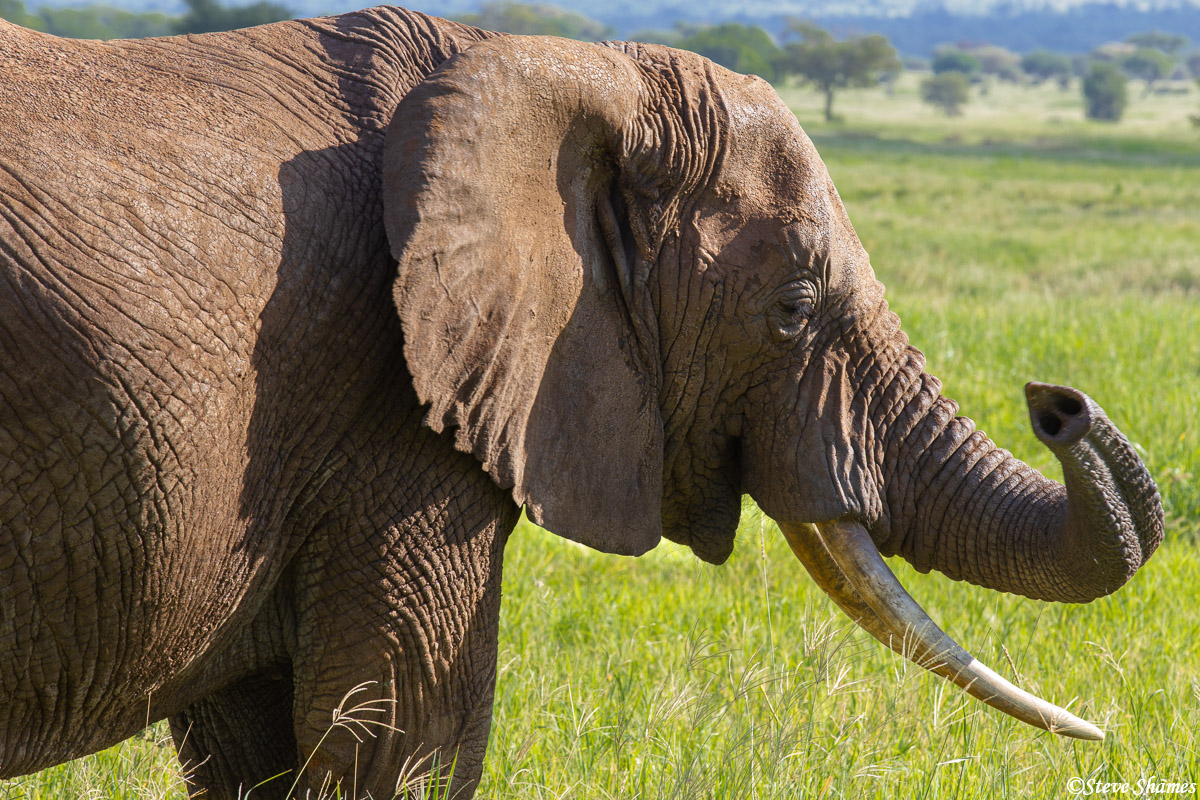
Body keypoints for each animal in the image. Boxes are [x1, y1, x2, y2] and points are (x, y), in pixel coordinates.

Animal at [0, 6, 1161, 800]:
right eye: (792, 309)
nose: (1056, 400)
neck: (548, 60)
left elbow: (259, 753)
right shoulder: (387, 411)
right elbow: (407, 743)